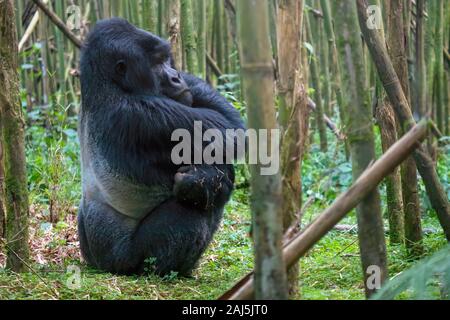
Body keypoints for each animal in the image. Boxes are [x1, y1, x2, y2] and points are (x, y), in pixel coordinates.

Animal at [78, 18, 246, 276]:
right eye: (157, 63)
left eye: (167, 60)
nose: (176, 76)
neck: (106, 86)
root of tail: (100, 263)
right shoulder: (141, 115)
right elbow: (230, 129)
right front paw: (198, 181)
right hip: (125, 261)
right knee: (202, 202)